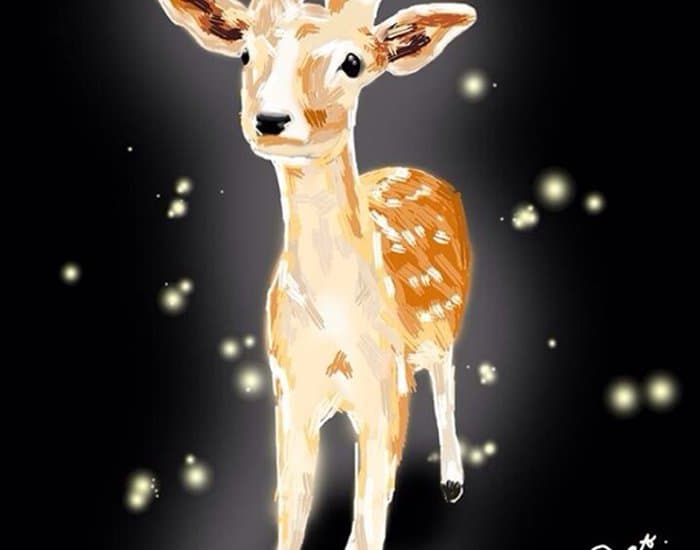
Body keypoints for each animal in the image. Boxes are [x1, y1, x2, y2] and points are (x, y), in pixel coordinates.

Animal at [158, 0, 476, 547]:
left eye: (352, 62)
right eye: (244, 53)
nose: (270, 119)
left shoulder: (384, 392)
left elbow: (367, 523)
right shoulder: (290, 388)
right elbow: (291, 505)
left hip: (443, 328)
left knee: (445, 376)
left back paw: (452, 481)